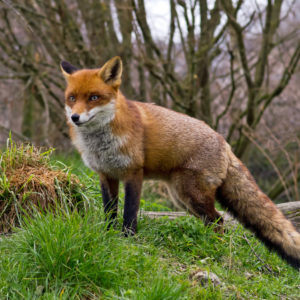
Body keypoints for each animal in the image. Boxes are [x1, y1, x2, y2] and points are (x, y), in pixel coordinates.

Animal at [61, 56, 300, 270]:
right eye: (72, 98)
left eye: (94, 97)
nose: (75, 117)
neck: (101, 143)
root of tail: (225, 143)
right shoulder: (106, 174)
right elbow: (109, 211)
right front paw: (109, 233)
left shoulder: (133, 173)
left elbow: (129, 212)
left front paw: (127, 238)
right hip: (183, 198)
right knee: (213, 221)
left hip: (191, 194)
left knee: (219, 221)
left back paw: (215, 249)